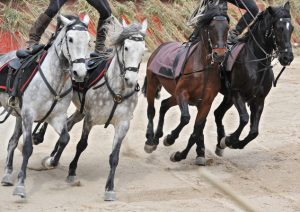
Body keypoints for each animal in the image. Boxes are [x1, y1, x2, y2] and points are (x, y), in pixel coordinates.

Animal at [0, 15, 90, 199]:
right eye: (70, 39)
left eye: (88, 41)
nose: (80, 73)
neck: (55, 79)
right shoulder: (29, 115)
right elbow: (28, 148)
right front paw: (20, 185)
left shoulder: (57, 117)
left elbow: (65, 138)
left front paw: (50, 161)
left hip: (18, 116)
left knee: (12, 142)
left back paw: (7, 175)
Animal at [142, 0, 229, 166]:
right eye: (211, 27)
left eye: (227, 27)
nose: (219, 55)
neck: (203, 68)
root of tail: (159, 47)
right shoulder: (183, 93)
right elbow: (185, 118)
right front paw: (170, 139)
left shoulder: (205, 103)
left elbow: (196, 130)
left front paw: (178, 155)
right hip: (152, 84)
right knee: (151, 110)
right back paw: (150, 140)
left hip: (174, 95)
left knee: (164, 105)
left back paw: (157, 137)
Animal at [214, 1, 294, 156]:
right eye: (279, 28)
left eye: (291, 28)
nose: (288, 58)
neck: (256, 62)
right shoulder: (237, 94)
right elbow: (245, 119)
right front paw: (230, 140)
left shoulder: (259, 100)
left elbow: (254, 131)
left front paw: (235, 142)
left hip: (228, 97)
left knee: (218, 114)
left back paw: (220, 144)